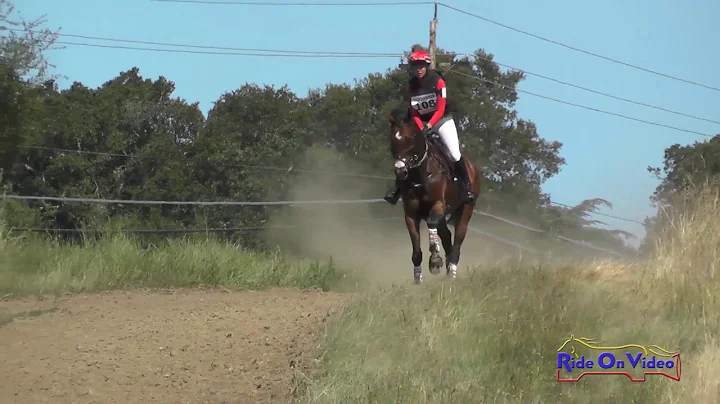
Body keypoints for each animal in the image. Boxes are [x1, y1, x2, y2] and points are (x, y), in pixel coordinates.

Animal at [386, 107, 480, 284]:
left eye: (411, 138)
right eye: (392, 141)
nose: (400, 171)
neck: (421, 174)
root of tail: (472, 167)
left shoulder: (438, 205)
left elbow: (431, 223)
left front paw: (435, 260)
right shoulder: (411, 214)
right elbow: (416, 251)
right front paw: (418, 279)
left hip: (466, 210)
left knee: (457, 242)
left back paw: (452, 273)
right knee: (446, 237)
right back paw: (448, 269)